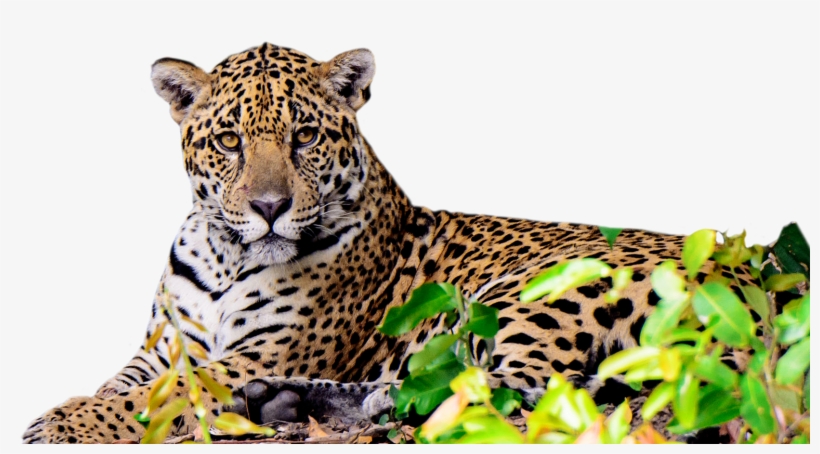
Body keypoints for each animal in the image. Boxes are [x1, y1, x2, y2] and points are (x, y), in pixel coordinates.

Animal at [22, 43, 744, 444]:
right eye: (229, 141)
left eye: (305, 136)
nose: (268, 208)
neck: (228, 258)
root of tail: (757, 276)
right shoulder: (163, 345)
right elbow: (127, 382)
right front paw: (78, 408)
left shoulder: (265, 347)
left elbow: (172, 390)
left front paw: (67, 425)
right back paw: (288, 402)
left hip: (538, 293)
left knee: (517, 396)